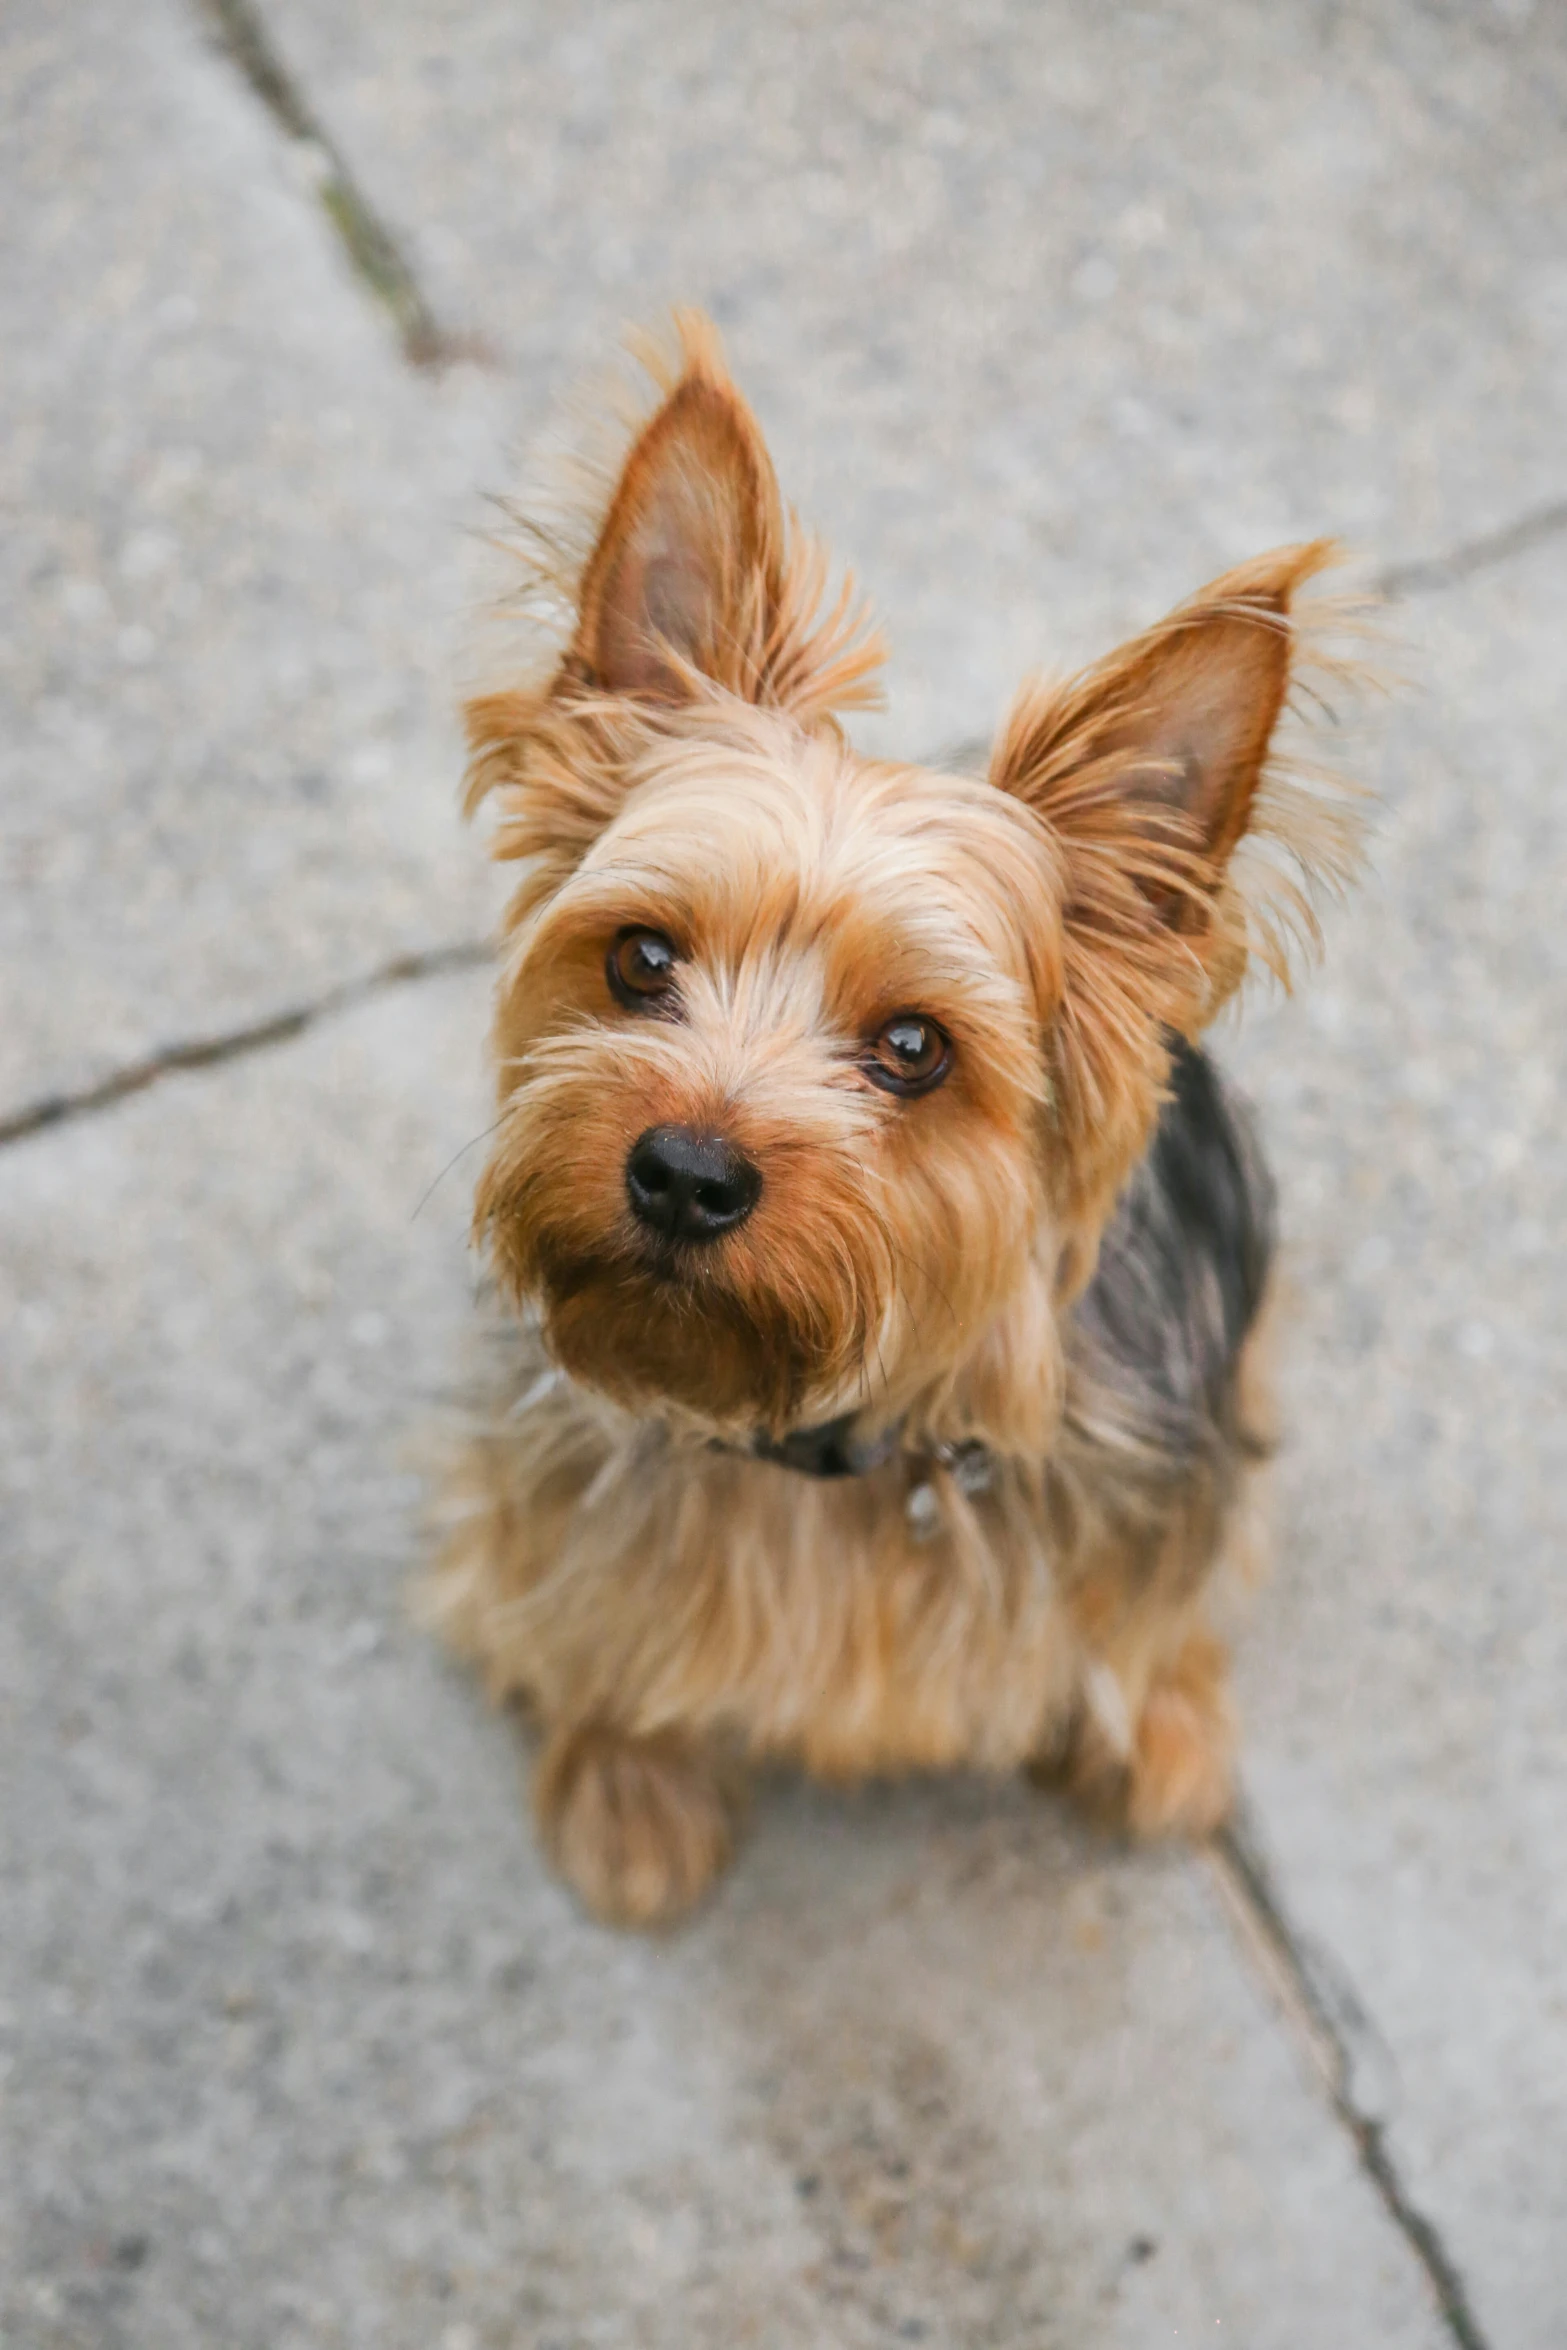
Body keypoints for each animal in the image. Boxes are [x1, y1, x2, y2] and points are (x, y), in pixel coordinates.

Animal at [429, 312, 1362, 1926]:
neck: (809, 1435)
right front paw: (624, 1777)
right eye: (640, 958)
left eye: (915, 1048)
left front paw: (1158, 1724)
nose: (684, 1173)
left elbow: (1153, 1613)